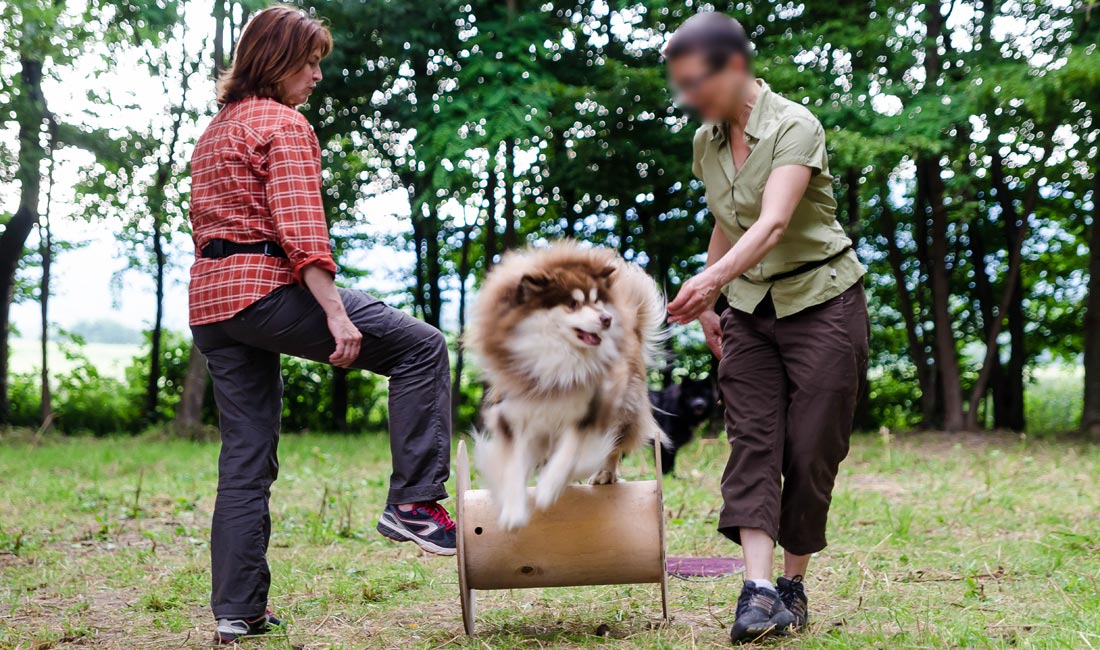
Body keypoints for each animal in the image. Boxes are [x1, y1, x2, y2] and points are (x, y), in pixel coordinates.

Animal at [462, 241, 660, 532]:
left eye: (596, 300)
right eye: (572, 303)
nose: (607, 318)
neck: (558, 360)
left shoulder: (590, 412)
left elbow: (570, 453)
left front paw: (549, 487)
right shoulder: (513, 415)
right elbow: (513, 465)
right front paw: (513, 509)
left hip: (626, 408)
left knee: (614, 445)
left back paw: (603, 474)